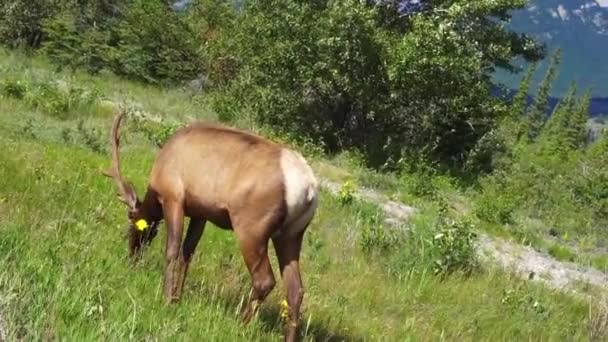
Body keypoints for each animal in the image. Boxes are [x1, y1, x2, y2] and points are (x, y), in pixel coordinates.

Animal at [101, 111, 318, 340]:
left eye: (132, 224)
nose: (132, 258)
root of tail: (309, 189)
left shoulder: (174, 197)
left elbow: (172, 251)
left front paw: (167, 299)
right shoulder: (200, 213)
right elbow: (187, 253)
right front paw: (177, 297)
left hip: (252, 229)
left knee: (264, 280)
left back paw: (239, 326)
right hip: (291, 235)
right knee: (296, 290)